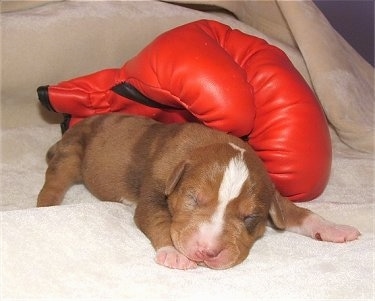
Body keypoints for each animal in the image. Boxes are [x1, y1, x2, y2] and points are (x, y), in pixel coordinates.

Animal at [37, 113, 362, 268]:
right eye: (193, 199)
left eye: (249, 218)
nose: (207, 252)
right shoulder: (154, 194)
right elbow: (158, 220)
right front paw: (173, 253)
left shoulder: (275, 199)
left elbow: (300, 212)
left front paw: (335, 229)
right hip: (72, 155)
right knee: (52, 185)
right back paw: (46, 210)